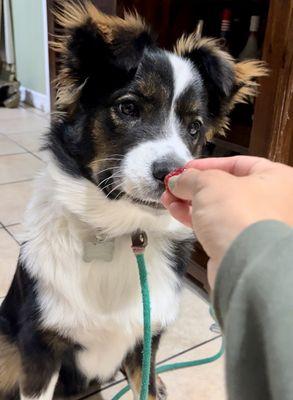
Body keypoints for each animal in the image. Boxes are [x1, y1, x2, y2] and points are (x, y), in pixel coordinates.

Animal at [0, 1, 266, 398]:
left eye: (194, 127)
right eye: (128, 108)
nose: (171, 175)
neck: (122, 230)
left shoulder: (146, 339)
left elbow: (147, 382)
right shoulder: (39, 347)